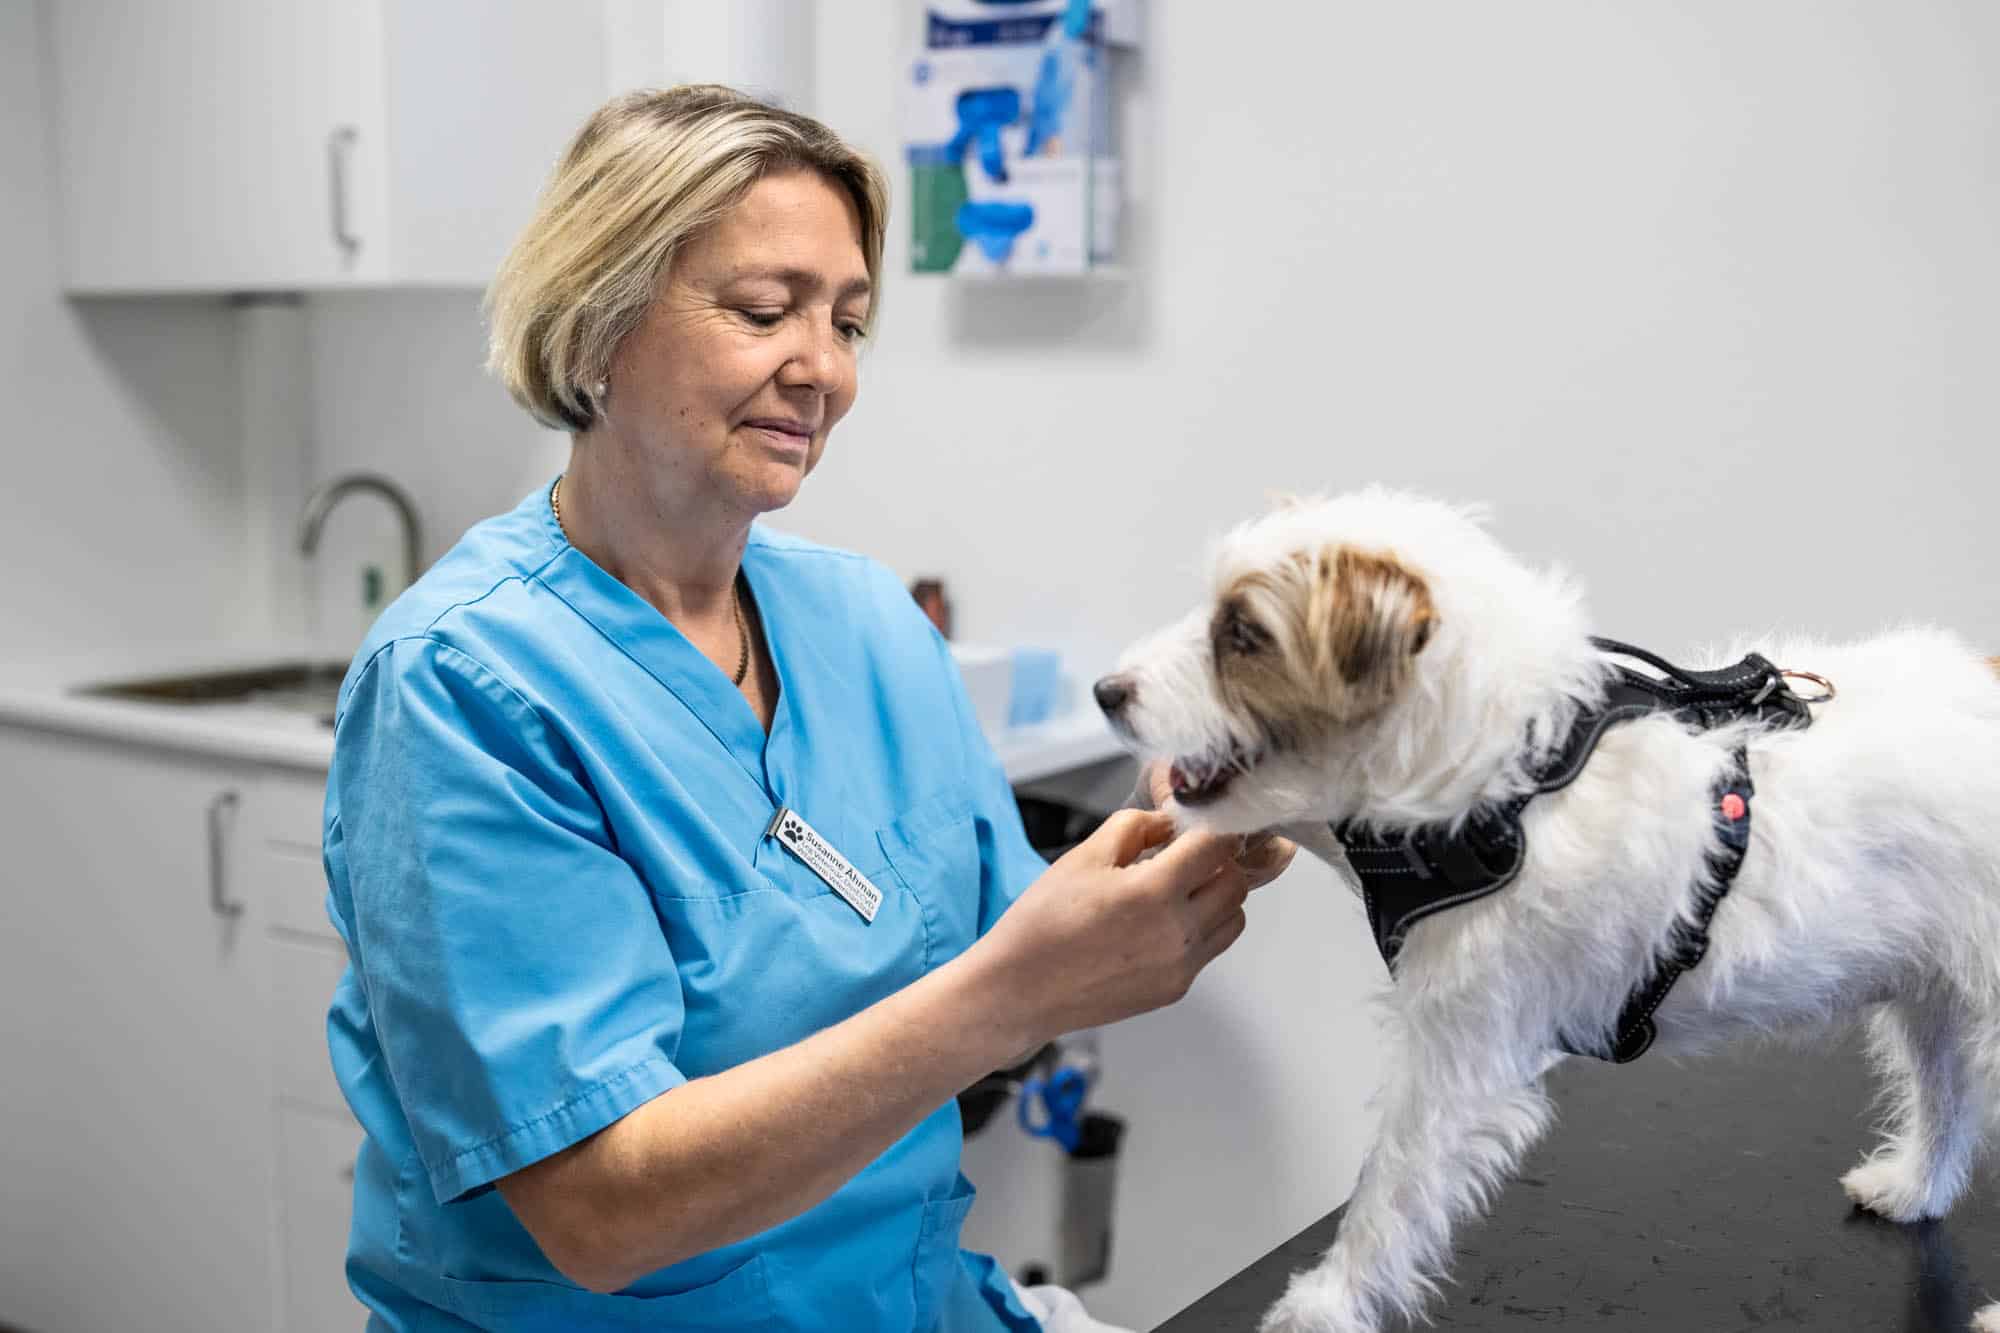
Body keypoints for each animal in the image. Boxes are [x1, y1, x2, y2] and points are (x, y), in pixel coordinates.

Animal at [1096, 490, 2000, 1328]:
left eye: (1244, 632)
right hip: (1941, 998)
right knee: (1946, 1097)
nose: (1106, 689)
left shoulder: (1456, 1055)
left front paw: (1326, 1303)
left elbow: (1390, 1185)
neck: (1505, 780)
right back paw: (1914, 1185)